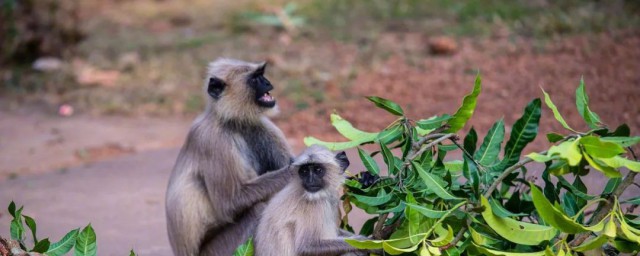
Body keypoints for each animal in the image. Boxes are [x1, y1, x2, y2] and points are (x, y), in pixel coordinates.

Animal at [165, 58, 296, 256]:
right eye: (255, 79)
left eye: (262, 75)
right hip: (217, 250)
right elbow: (229, 203)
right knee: (256, 209)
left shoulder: (262, 126)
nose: (268, 83)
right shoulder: (213, 140)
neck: (233, 122)